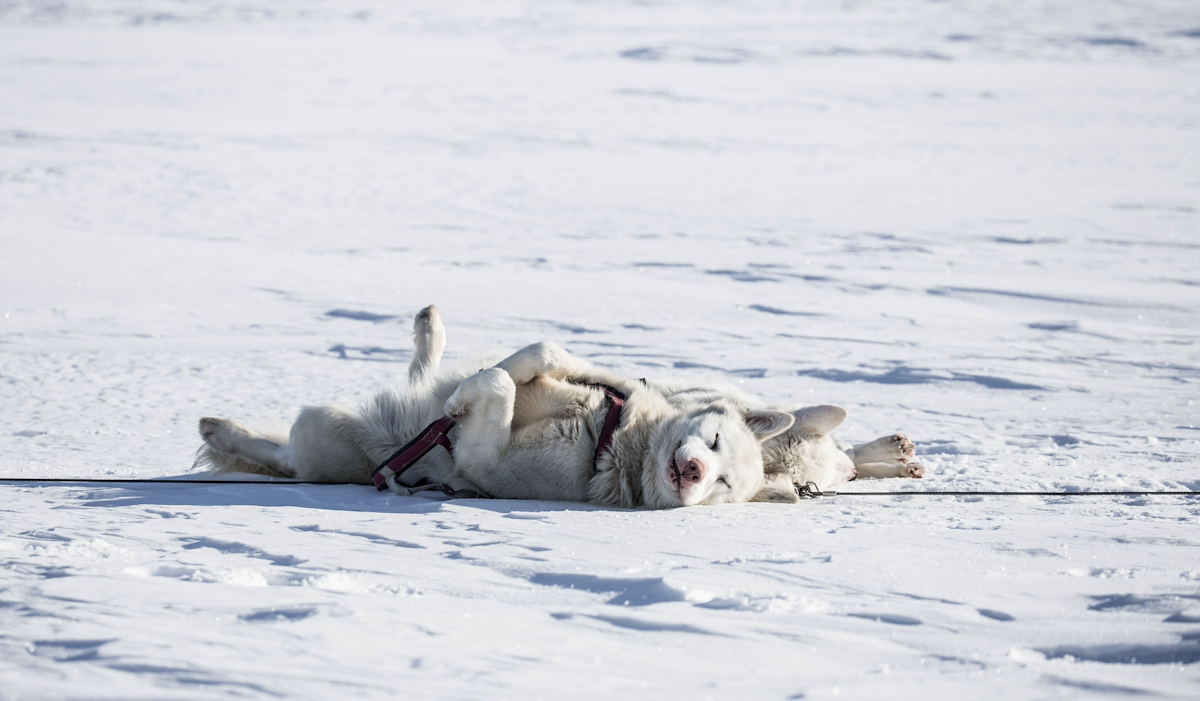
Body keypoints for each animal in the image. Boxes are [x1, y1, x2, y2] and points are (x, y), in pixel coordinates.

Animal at [196, 307, 921, 508]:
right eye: (714, 445)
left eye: (722, 486)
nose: (691, 475)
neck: (613, 439)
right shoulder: (595, 378)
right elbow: (539, 355)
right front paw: (487, 378)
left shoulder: (488, 463)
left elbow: (494, 394)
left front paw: (471, 398)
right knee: (422, 375)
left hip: (323, 432)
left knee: (285, 454)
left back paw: (224, 432)